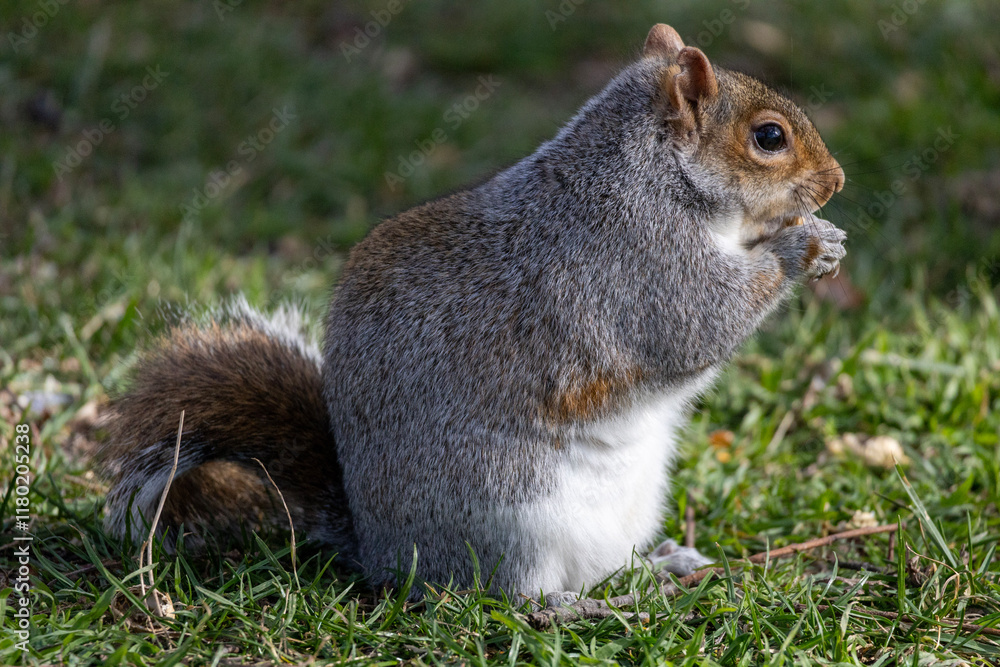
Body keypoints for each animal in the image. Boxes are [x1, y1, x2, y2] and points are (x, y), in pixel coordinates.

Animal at [99, 24, 846, 600]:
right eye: (769, 137)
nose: (836, 182)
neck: (651, 178)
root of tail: (382, 552)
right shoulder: (643, 263)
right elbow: (700, 321)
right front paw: (799, 244)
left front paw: (826, 239)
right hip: (513, 520)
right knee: (516, 598)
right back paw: (587, 605)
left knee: (601, 567)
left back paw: (658, 567)